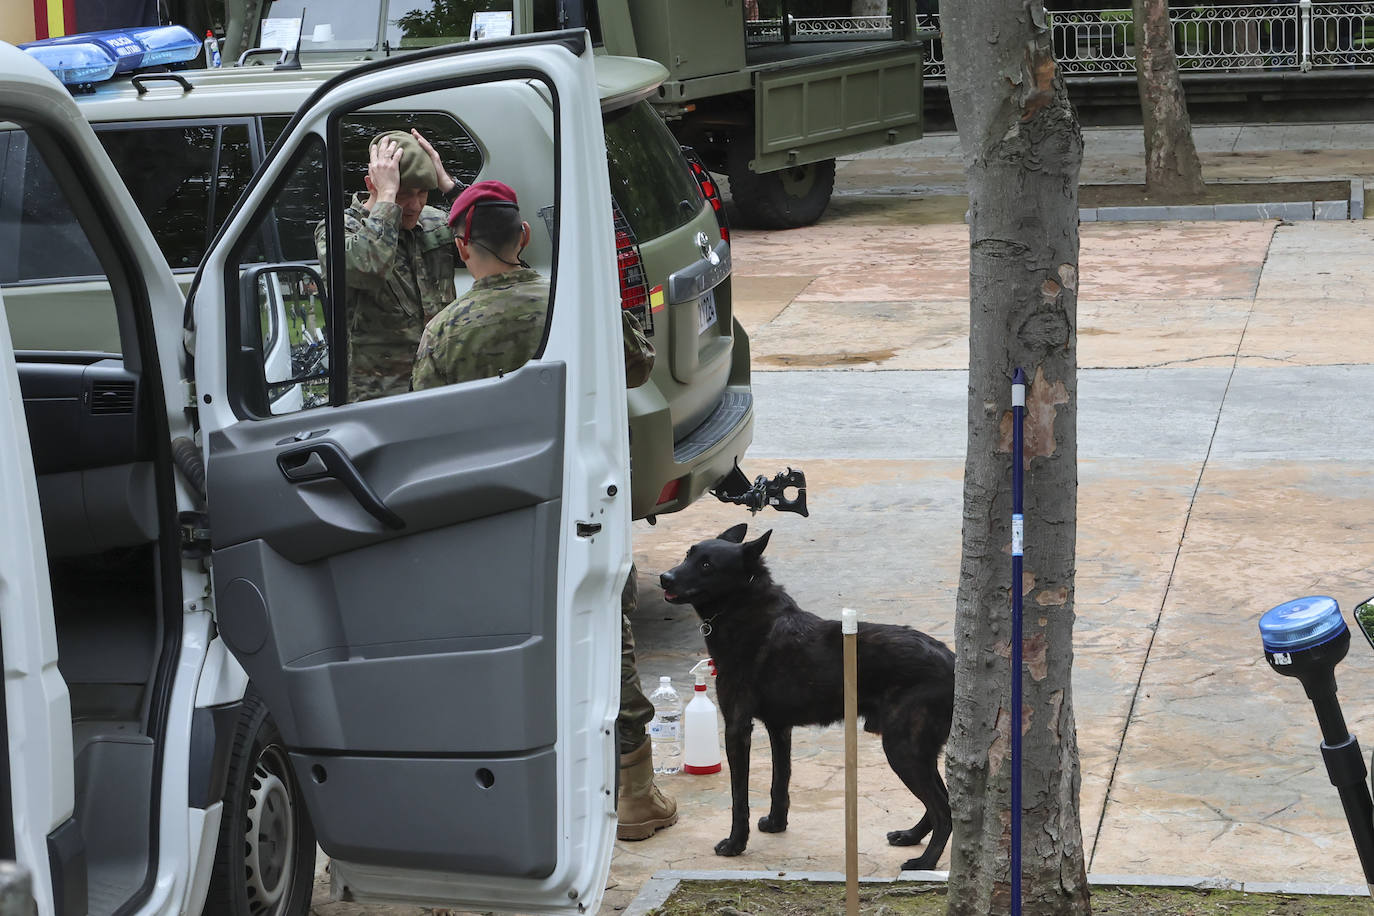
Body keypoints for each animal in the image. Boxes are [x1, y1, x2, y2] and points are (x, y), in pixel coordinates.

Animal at [659, 527, 950, 873]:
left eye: (707, 565)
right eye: (687, 555)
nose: (664, 578)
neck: (743, 606)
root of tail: (952, 660)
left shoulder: (737, 728)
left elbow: (739, 798)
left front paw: (735, 844)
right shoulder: (779, 729)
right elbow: (779, 782)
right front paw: (776, 824)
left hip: (903, 747)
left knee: (944, 810)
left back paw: (925, 862)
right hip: (917, 750)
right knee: (942, 802)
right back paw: (911, 836)